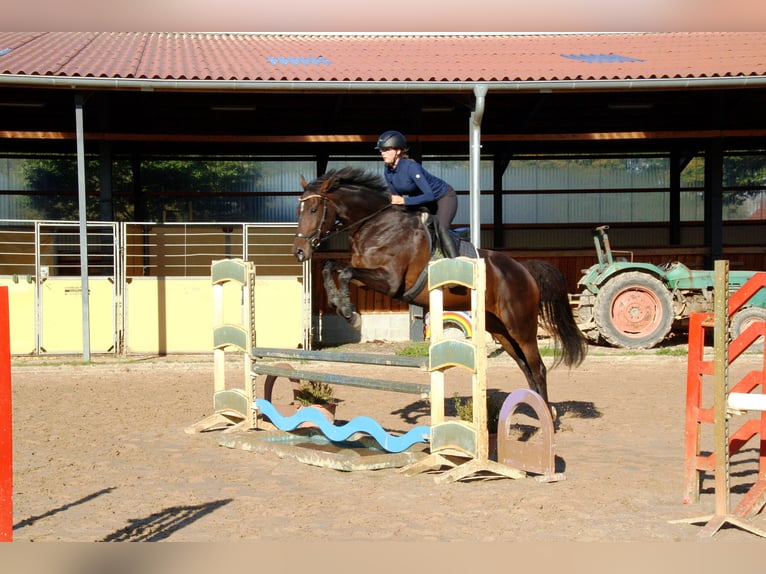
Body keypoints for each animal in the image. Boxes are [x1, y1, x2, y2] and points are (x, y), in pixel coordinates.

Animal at [292, 166, 588, 414]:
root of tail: (524, 270)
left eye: (314, 209)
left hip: (520, 325)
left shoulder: (389, 281)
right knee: (525, 365)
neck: (377, 226)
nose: (300, 252)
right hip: (500, 329)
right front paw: (341, 304)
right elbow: (331, 267)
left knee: (537, 367)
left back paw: (548, 415)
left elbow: (344, 271)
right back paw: (535, 408)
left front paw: (349, 312)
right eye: (299, 210)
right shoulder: (367, 277)